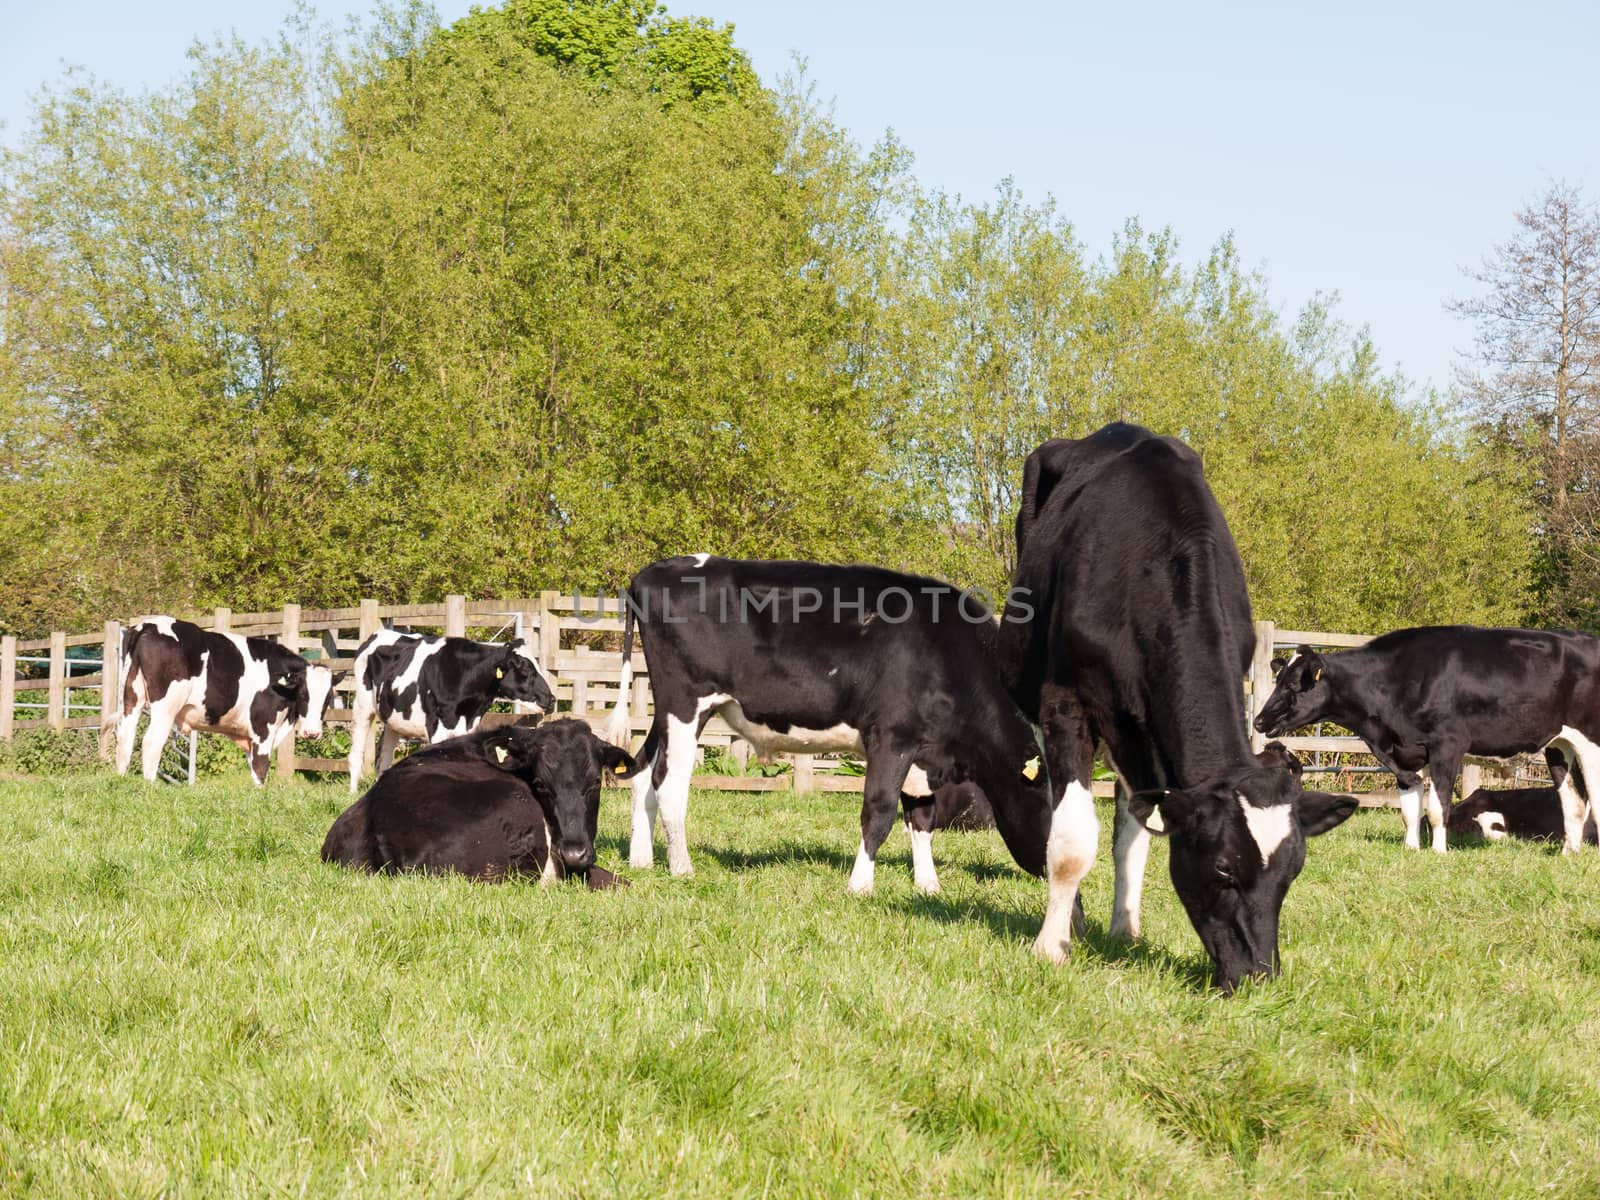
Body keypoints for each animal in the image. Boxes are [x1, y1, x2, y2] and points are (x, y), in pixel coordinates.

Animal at [114, 620, 342, 790]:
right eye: (303, 694)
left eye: (327, 698)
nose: (312, 733)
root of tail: (147, 625)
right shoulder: (263, 729)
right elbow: (261, 767)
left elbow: (253, 767)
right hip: (165, 707)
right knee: (151, 741)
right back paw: (149, 784)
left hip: (131, 698)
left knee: (125, 736)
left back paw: (121, 778)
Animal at [345, 633, 556, 793]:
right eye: (525, 669)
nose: (552, 699)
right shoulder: (437, 729)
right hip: (362, 706)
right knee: (356, 751)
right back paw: (353, 792)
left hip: (393, 718)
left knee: (385, 756)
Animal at [604, 553, 1056, 896]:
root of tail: (652, 572)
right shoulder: (891, 737)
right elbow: (879, 811)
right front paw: (860, 886)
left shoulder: (922, 751)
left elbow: (921, 816)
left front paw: (928, 886)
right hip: (686, 702)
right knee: (669, 782)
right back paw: (682, 867)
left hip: (668, 712)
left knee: (642, 773)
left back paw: (642, 860)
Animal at [998, 428, 1350, 992]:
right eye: (1224, 868)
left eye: (1292, 872)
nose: (1259, 976)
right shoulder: (1065, 704)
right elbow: (1070, 841)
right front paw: (1051, 948)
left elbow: (1135, 832)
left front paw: (1123, 932)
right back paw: (1072, 918)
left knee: (1132, 823)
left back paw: (1122, 926)